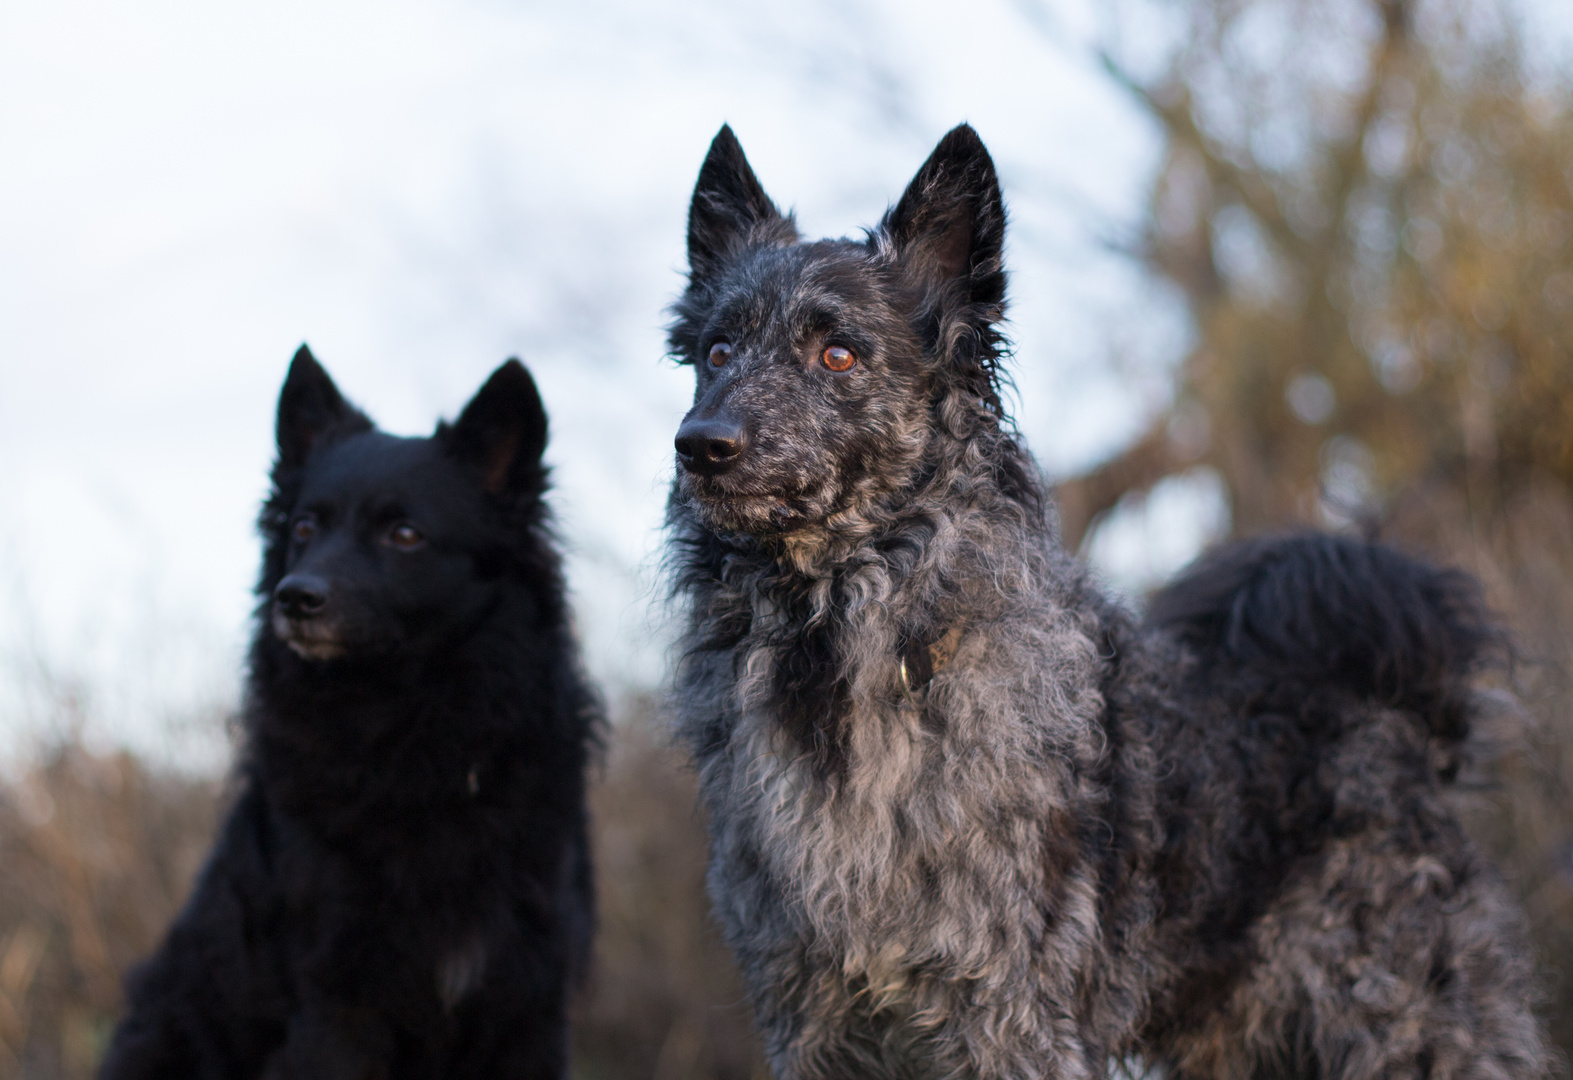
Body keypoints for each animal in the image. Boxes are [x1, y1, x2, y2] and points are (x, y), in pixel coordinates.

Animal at [101, 350, 597, 1080]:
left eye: (405, 534)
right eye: (305, 527)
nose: (294, 598)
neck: (410, 728)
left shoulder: (528, 1005)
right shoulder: (336, 1001)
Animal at [660, 126, 1547, 1080]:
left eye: (838, 353)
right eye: (717, 352)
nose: (700, 444)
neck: (836, 645)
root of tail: (1395, 712)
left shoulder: (1010, 1018)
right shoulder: (816, 1021)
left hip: (1415, 1023)